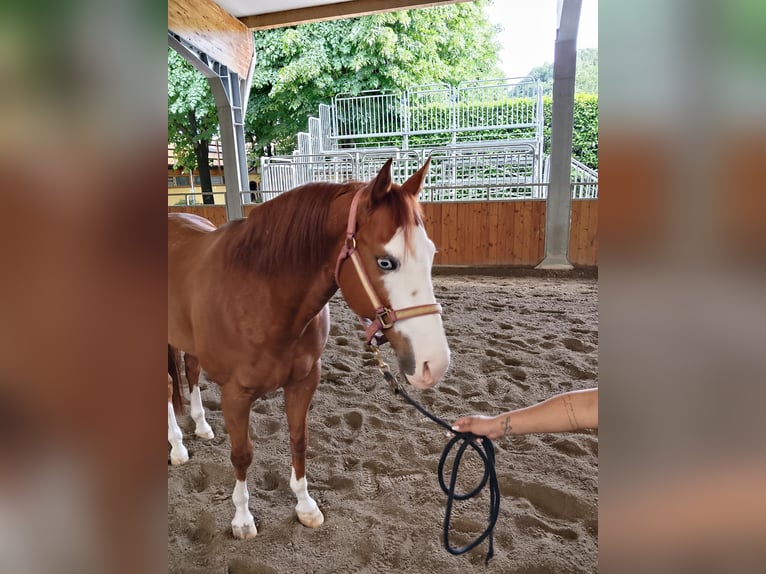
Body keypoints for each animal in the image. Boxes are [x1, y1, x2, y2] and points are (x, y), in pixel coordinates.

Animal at [167, 159, 450, 539]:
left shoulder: (303, 381)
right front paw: (242, 519)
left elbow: (299, 440)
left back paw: (200, 427)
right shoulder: (235, 395)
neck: (263, 297)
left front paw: (305, 506)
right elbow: (242, 454)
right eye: (385, 262)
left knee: (192, 372)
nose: (435, 363)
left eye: (431, 253)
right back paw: (177, 446)